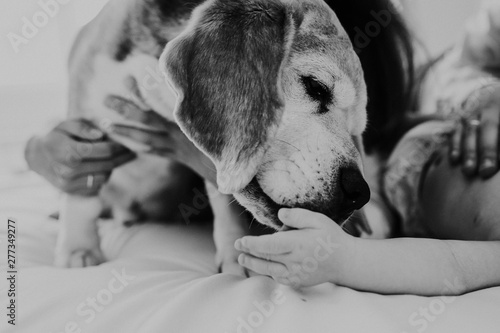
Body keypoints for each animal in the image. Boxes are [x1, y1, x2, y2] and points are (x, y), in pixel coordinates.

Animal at [57, 0, 372, 272]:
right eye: (316, 87)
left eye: (357, 129)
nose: (359, 194)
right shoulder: (87, 118)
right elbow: (82, 195)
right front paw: (79, 248)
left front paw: (232, 255)